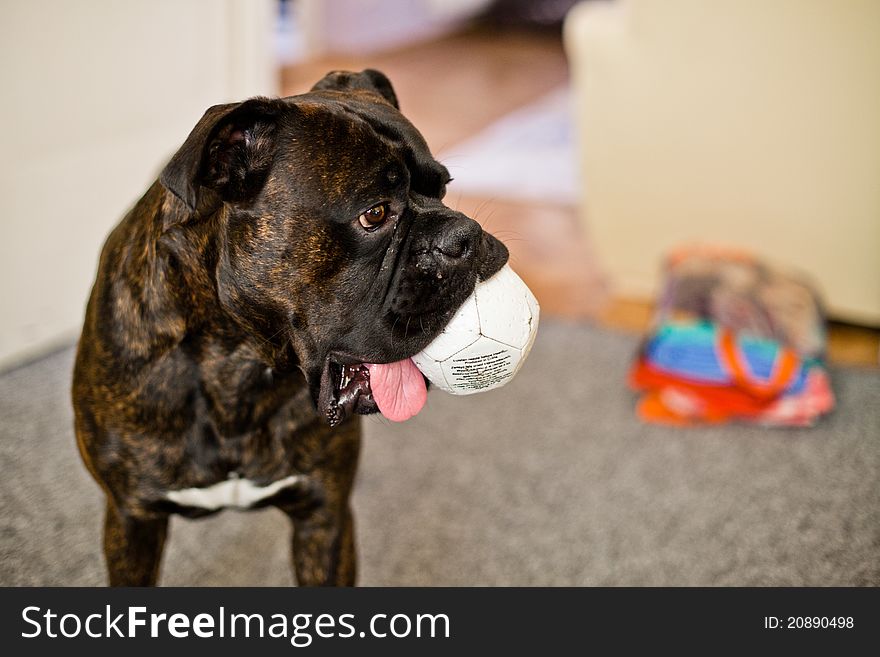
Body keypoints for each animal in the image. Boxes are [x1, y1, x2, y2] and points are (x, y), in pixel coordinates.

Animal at [72, 70, 508, 584]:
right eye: (375, 214)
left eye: (442, 188)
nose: (463, 235)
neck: (239, 363)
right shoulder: (132, 519)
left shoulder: (324, 519)